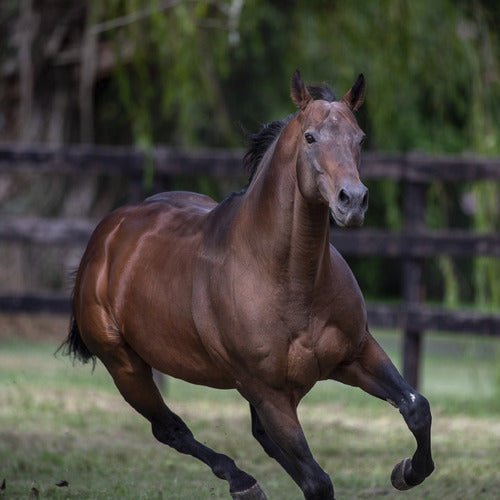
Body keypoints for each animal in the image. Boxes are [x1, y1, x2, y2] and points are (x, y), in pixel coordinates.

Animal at [58, 71, 434, 500]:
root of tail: (104, 237)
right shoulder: (269, 393)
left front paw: (407, 471)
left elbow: (416, 407)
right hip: (125, 367)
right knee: (171, 429)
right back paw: (243, 483)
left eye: (360, 138)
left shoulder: (355, 353)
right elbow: (318, 482)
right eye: (310, 138)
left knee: (256, 436)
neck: (289, 278)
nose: (352, 201)